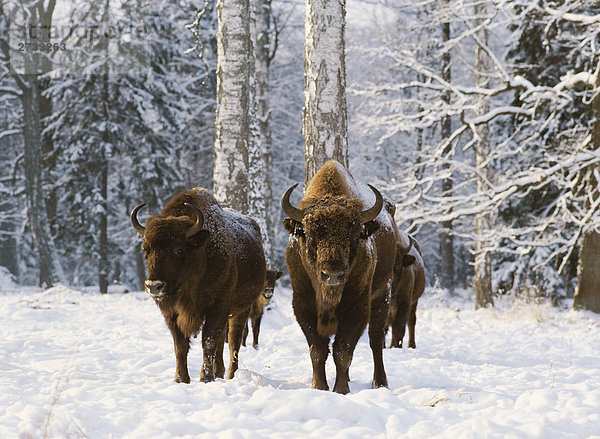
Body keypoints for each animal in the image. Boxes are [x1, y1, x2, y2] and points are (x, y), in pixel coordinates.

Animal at [130, 189, 266, 384]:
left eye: (179, 249)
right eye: (146, 249)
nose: (154, 286)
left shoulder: (218, 308)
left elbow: (208, 342)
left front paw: (205, 378)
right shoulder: (171, 313)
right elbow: (180, 345)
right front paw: (181, 379)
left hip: (241, 309)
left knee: (234, 343)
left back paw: (230, 375)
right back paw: (219, 372)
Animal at [282, 160, 396, 394]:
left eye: (355, 234)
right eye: (310, 234)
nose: (332, 275)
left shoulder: (357, 307)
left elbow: (343, 350)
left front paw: (341, 389)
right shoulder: (303, 305)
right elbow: (318, 349)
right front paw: (319, 386)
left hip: (383, 294)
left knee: (376, 340)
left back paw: (380, 382)